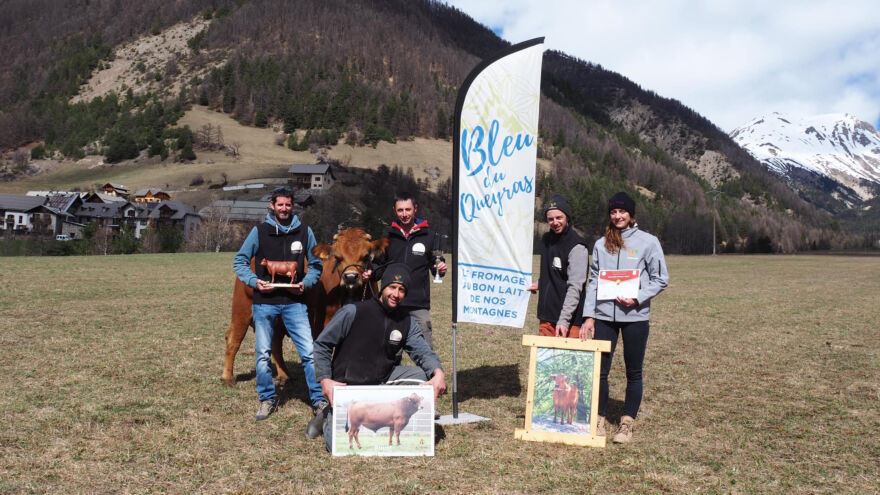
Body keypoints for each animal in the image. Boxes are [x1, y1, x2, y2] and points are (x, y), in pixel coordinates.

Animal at [220, 229, 388, 388]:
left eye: (366, 257)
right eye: (337, 257)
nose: (351, 277)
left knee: (275, 342)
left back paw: (284, 376)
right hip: (241, 310)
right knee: (233, 339)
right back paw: (227, 378)